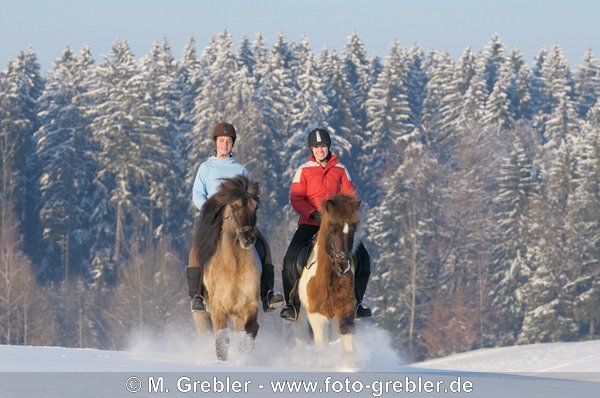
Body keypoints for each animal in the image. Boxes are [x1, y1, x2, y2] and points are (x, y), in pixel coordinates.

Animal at [190, 174, 260, 360]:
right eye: (235, 206)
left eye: (256, 207)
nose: (248, 238)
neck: (234, 265)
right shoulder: (218, 309)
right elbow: (221, 340)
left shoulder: (249, 305)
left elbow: (249, 331)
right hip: (201, 314)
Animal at [296, 194, 360, 352]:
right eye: (331, 230)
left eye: (353, 230)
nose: (343, 266)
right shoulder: (317, 317)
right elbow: (322, 349)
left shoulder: (345, 310)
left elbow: (348, 347)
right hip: (300, 316)